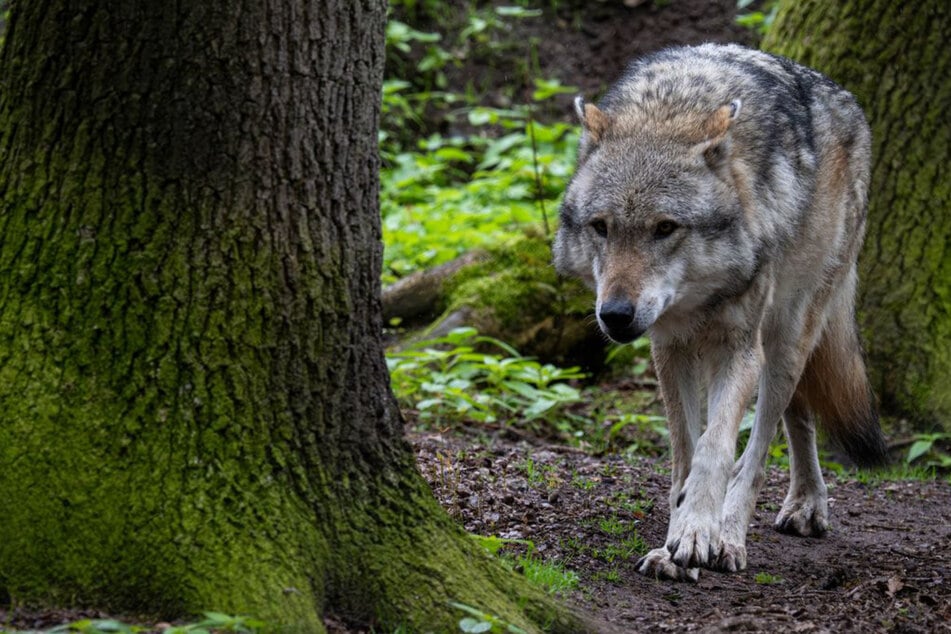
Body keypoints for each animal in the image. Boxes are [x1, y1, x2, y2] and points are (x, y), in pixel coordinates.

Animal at [553, 43, 887, 580]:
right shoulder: (670, 350)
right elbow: (685, 453)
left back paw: (733, 535)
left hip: (785, 338)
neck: (671, 110)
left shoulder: (738, 349)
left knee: (760, 445)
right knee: (798, 415)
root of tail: (847, 100)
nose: (616, 314)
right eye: (601, 227)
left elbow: (716, 449)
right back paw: (804, 502)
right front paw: (674, 541)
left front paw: (698, 534)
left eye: (665, 228)